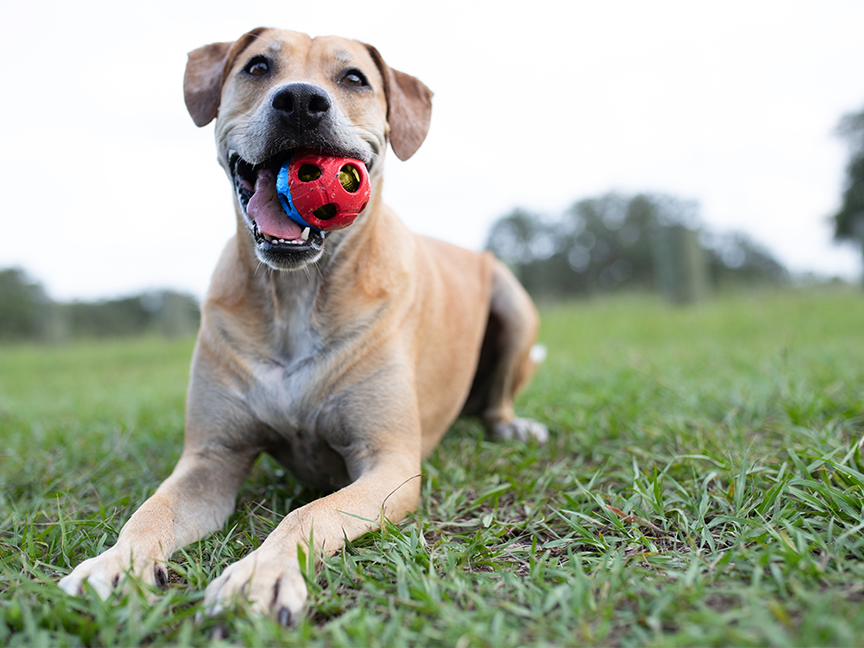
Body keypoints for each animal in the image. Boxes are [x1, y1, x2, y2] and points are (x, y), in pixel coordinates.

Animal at [59, 27, 548, 624]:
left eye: (354, 78)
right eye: (257, 66)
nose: (299, 101)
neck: (295, 294)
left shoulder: (389, 465)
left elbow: (311, 513)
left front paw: (260, 575)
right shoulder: (212, 456)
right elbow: (150, 510)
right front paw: (114, 565)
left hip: (512, 301)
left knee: (500, 398)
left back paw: (513, 426)